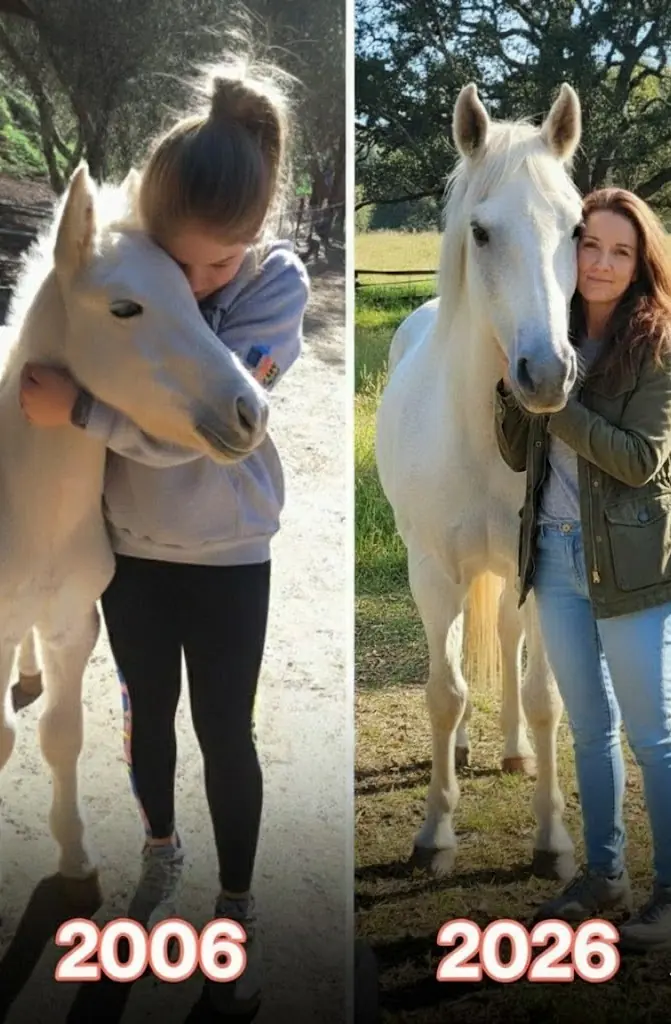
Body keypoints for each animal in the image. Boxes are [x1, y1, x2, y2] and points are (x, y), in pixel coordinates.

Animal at [375, 82, 584, 881]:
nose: (546, 372)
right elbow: (444, 692)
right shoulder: (432, 572)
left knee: (506, 638)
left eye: (577, 228)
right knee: (461, 650)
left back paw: (513, 751)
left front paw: (553, 841)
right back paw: (465, 752)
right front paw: (435, 832)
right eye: (482, 233)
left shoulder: (543, 569)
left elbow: (544, 695)